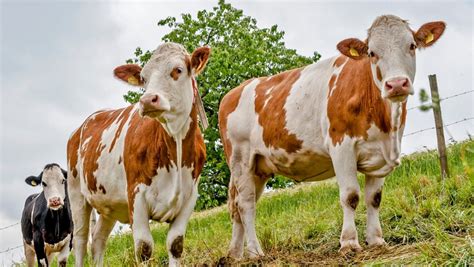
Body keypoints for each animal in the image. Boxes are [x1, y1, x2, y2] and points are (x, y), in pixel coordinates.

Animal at [66, 43, 209, 266]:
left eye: (178, 70)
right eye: (144, 78)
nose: (147, 100)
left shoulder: (189, 197)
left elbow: (175, 244)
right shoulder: (136, 196)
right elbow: (144, 248)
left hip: (109, 205)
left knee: (98, 240)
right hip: (76, 196)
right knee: (81, 242)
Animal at [218, 15, 444, 260]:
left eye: (411, 45)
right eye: (372, 53)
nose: (396, 84)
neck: (385, 123)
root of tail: (233, 92)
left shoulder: (381, 155)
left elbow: (374, 198)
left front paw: (376, 240)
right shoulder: (341, 147)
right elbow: (351, 196)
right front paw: (349, 243)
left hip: (259, 167)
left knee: (237, 206)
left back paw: (235, 254)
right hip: (240, 160)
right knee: (245, 205)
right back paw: (255, 252)